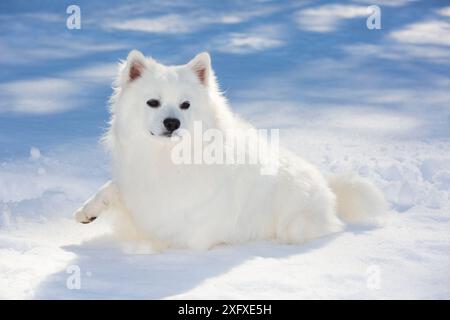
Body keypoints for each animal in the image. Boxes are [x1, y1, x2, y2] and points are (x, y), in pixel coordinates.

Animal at [74, 50, 386, 250]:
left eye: (185, 105)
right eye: (153, 102)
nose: (172, 122)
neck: (167, 159)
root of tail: (329, 189)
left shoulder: (189, 233)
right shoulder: (140, 191)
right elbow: (113, 188)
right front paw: (88, 210)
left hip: (295, 221)